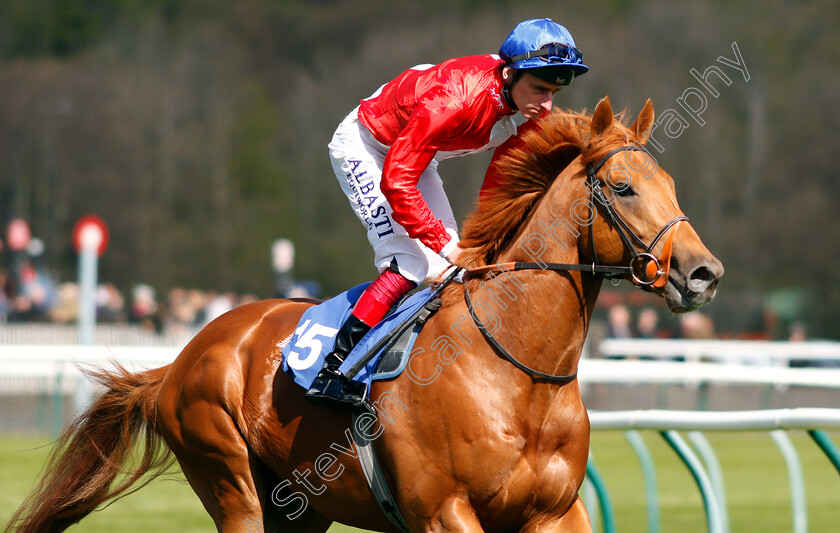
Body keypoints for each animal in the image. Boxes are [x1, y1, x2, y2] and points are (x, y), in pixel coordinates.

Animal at [8, 96, 720, 532]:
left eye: (672, 186)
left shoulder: (557, 511)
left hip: (300, 505)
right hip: (231, 480)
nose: (702, 273)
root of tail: (182, 358)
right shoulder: (444, 510)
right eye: (623, 188)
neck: (518, 372)